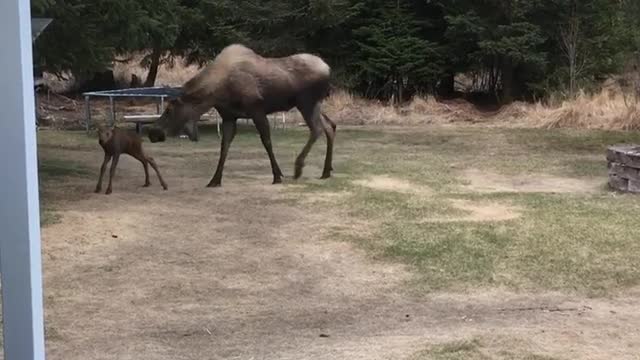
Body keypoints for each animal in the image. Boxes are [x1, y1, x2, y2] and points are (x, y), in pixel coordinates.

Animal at [145, 43, 336, 187]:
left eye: (169, 110)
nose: (152, 132)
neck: (217, 94)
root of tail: (328, 69)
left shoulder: (257, 110)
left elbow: (267, 142)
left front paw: (277, 175)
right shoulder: (229, 117)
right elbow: (224, 147)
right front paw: (215, 180)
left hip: (306, 102)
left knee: (317, 129)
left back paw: (299, 167)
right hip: (315, 104)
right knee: (330, 126)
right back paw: (326, 171)